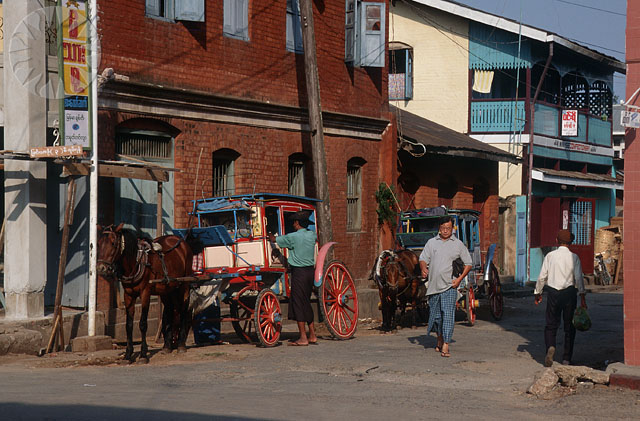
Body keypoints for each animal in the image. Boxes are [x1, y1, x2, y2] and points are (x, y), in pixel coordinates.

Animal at [97, 223, 195, 360]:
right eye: (98, 243)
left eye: (113, 243)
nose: (101, 268)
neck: (135, 263)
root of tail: (180, 241)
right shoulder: (128, 295)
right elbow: (129, 325)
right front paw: (128, 354)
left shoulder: (145, 293)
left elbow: (143, 324)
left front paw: (143, 354)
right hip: (167, 289)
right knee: (170, 311)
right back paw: (167, 346)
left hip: (184, 284)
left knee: (184, 310)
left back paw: (181, 344)